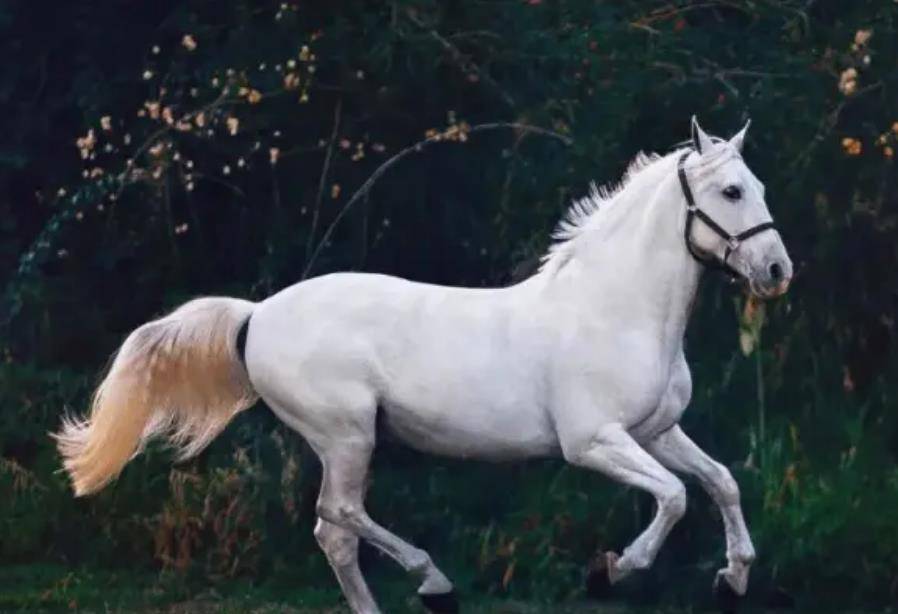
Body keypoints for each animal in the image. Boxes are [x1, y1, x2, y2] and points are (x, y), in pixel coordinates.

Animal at [54, 117, 792, 613]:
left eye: (759, 185)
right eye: (731, 192)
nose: (778, 271)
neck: (616, 310)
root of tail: (256, 315)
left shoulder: (655, 432)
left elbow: (720, 482)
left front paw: (734, 578)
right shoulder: (593, 443)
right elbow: (674, 496)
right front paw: (610, 570)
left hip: (346, 441)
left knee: (334, 533)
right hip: (347, 434)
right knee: (338, 514)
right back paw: (434, 582)